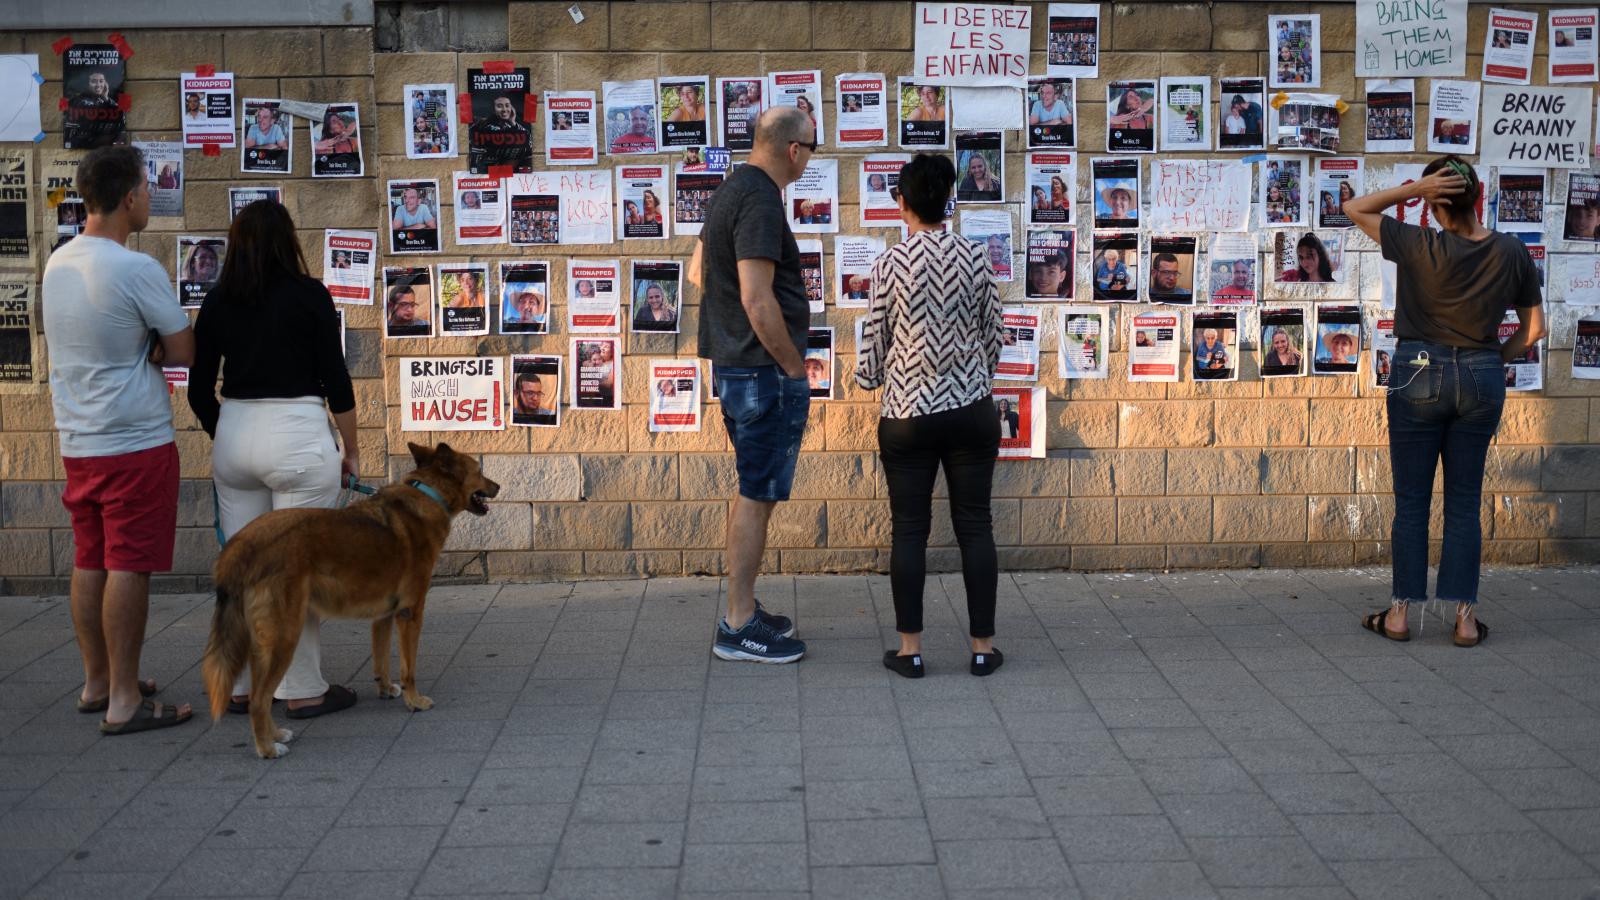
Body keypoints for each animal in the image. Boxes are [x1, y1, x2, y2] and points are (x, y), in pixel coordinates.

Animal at [203, 441, 496, 755]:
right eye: (478, 471)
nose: (499, 486)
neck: (428, 494)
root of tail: (242, 543)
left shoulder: (383, 615)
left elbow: (381, 658)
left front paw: (386, 689)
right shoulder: (410, 612)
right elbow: (409, 669)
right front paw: (414, 701)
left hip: (262, 641)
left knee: (261, 694)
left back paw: (276, 734)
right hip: (284, 636)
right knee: (259, 699)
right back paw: (267, 749)